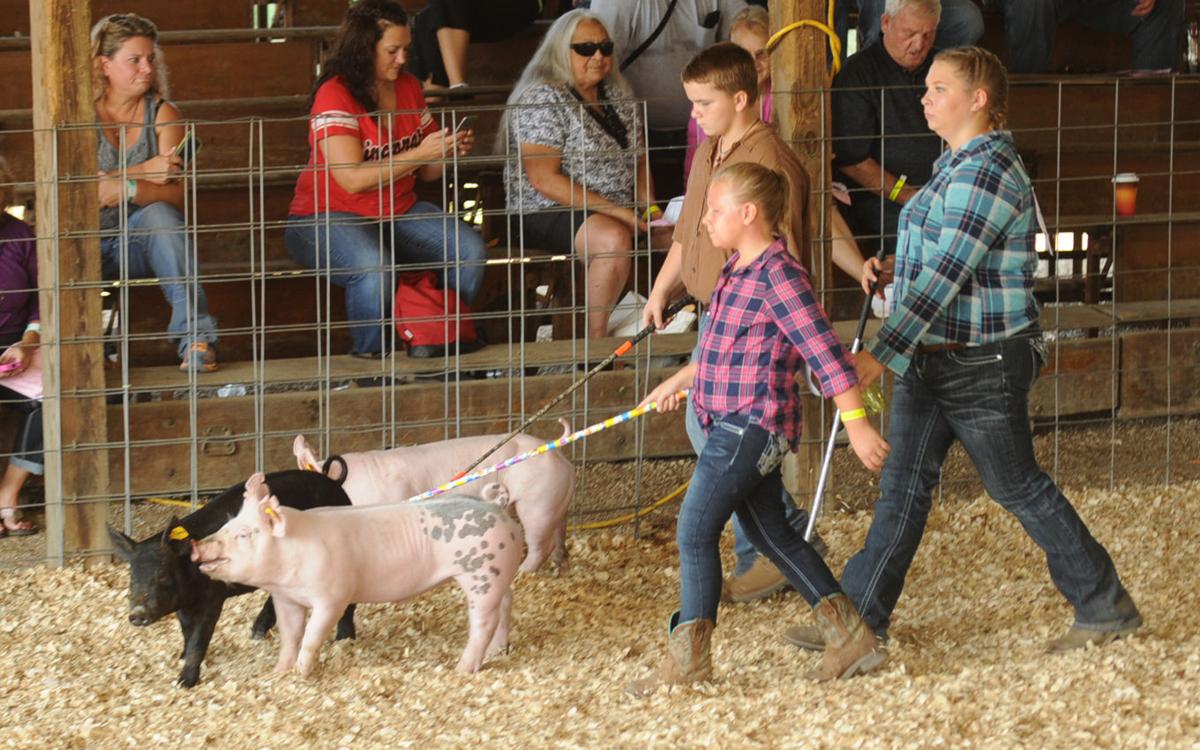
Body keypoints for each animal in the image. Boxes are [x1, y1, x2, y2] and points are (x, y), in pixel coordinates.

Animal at [192, 472, 520, 672]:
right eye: (227, 524)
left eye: (245, 534)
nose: (197, 545)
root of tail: (495, 506)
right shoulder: (285, 600)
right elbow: (290, 635)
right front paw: (279, 671)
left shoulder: (332, 597)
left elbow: (311, 635)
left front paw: (301, 672)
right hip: (498, 575)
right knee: (505, 606)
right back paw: (497, 651)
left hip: (481, 574)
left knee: (484, 622)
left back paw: (462, 668)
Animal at [290, 417, 571, 571]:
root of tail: (558, 452)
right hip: (555, 501)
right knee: (558, 532)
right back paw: (561, 562)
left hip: (537, 502)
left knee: (539, 542)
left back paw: (525, 570)